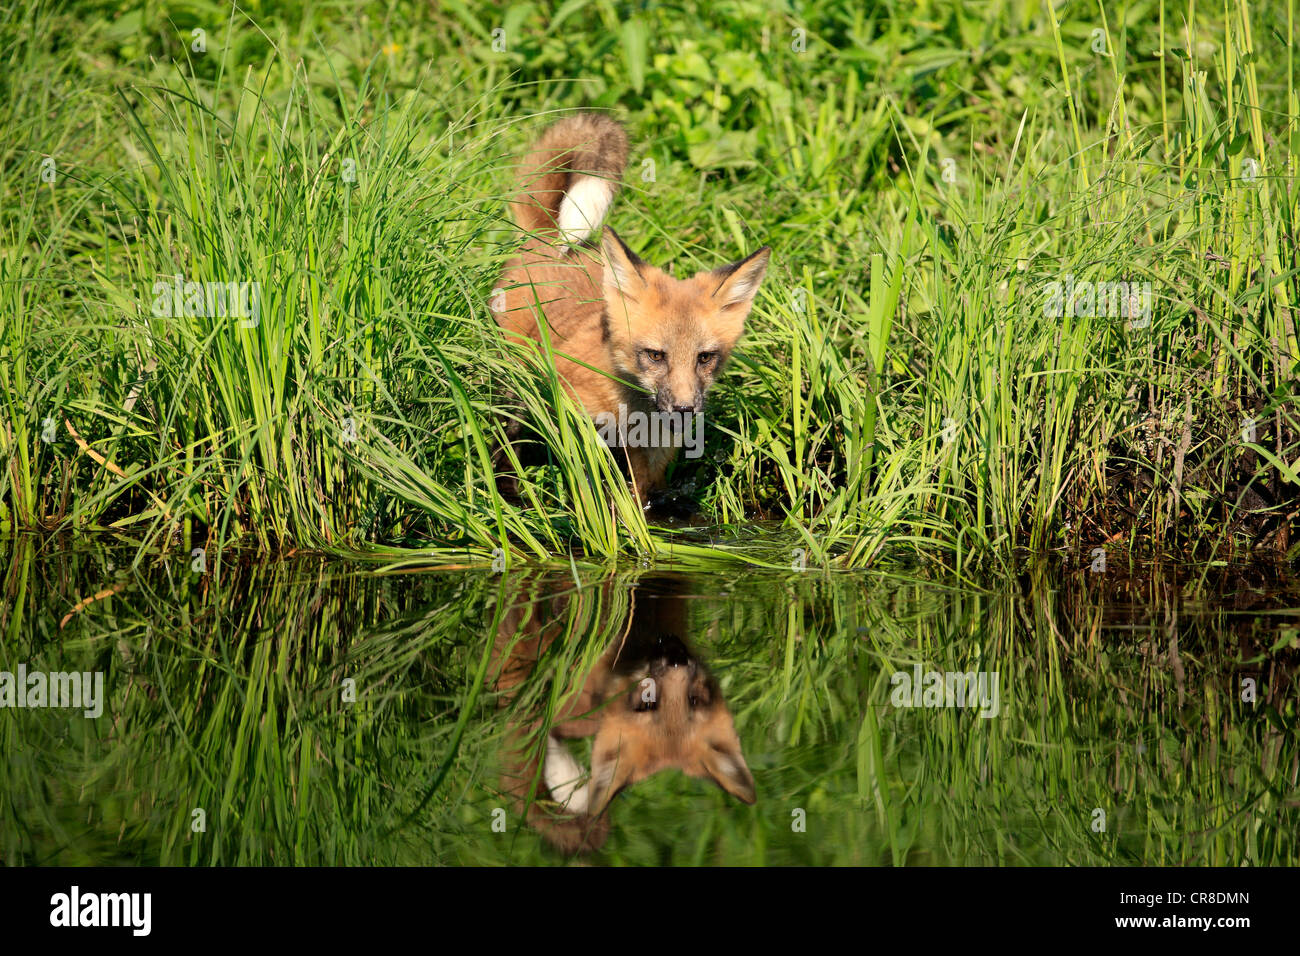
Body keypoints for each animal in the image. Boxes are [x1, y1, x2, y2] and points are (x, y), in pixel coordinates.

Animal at [491, 113, 764, 509]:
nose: (684, 410)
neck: (635, 413)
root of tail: (544, 240)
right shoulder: (582, 430)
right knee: (506, 439)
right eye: (655, 355)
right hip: (515, 389)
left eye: (705, 357)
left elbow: (640, 505)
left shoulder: (651, 462)